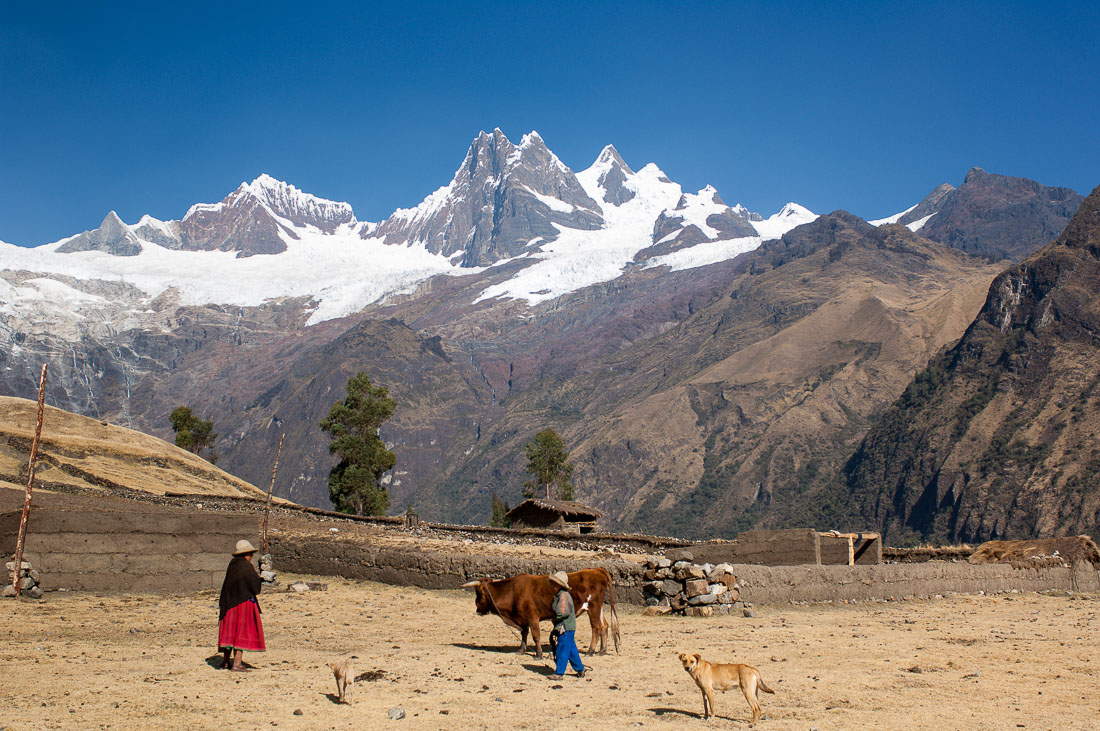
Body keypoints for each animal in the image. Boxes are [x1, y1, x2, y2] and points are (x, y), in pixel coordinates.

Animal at [462, 567, 620, 659]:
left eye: (477, 593)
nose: (477, 609)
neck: (512, 591)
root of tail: (597, 570)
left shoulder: (533, 617)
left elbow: (535, 635)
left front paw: (538, 654)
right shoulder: (522, 618)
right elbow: (524, 634)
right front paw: (521, 649)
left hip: (593, 608)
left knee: (596, 627)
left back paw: (590, 651)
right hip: (599, 608)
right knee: (605, 626)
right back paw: (602, 650)